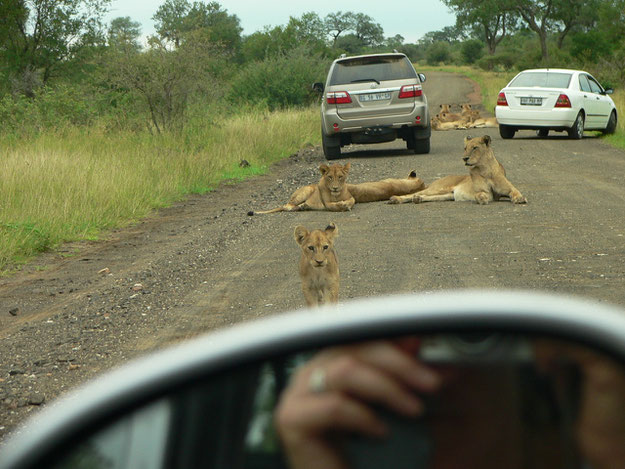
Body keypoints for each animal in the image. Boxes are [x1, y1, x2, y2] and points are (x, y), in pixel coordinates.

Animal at [390, 133, 528, 203]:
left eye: (475, 148)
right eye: (465, 148)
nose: (465, 158)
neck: (485, 169)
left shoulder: (509, 188)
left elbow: (515, 191)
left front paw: (520, 198)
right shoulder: (483, 191)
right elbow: (482, 194)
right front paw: (482, 198)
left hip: (447, 195)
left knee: (424, 196)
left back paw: (417, 199)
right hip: (438, 189)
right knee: (412, 194)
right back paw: (395, 199)